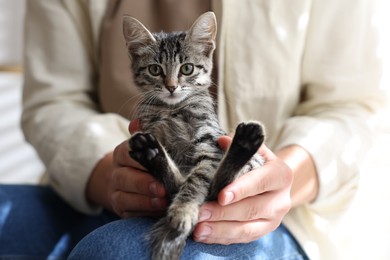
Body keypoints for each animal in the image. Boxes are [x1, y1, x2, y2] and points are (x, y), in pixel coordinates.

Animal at [123, 11, 266, 260]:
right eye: (155, 70)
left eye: (187, 69)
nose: (171, 87)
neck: (171, 110)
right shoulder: (152, 128)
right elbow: (180, 184)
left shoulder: (209, 141)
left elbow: (196, 182)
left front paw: (183, 212)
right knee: (179, 184)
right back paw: (149, 152)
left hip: (252, 161)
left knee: (216, 188)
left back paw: (245, 142)